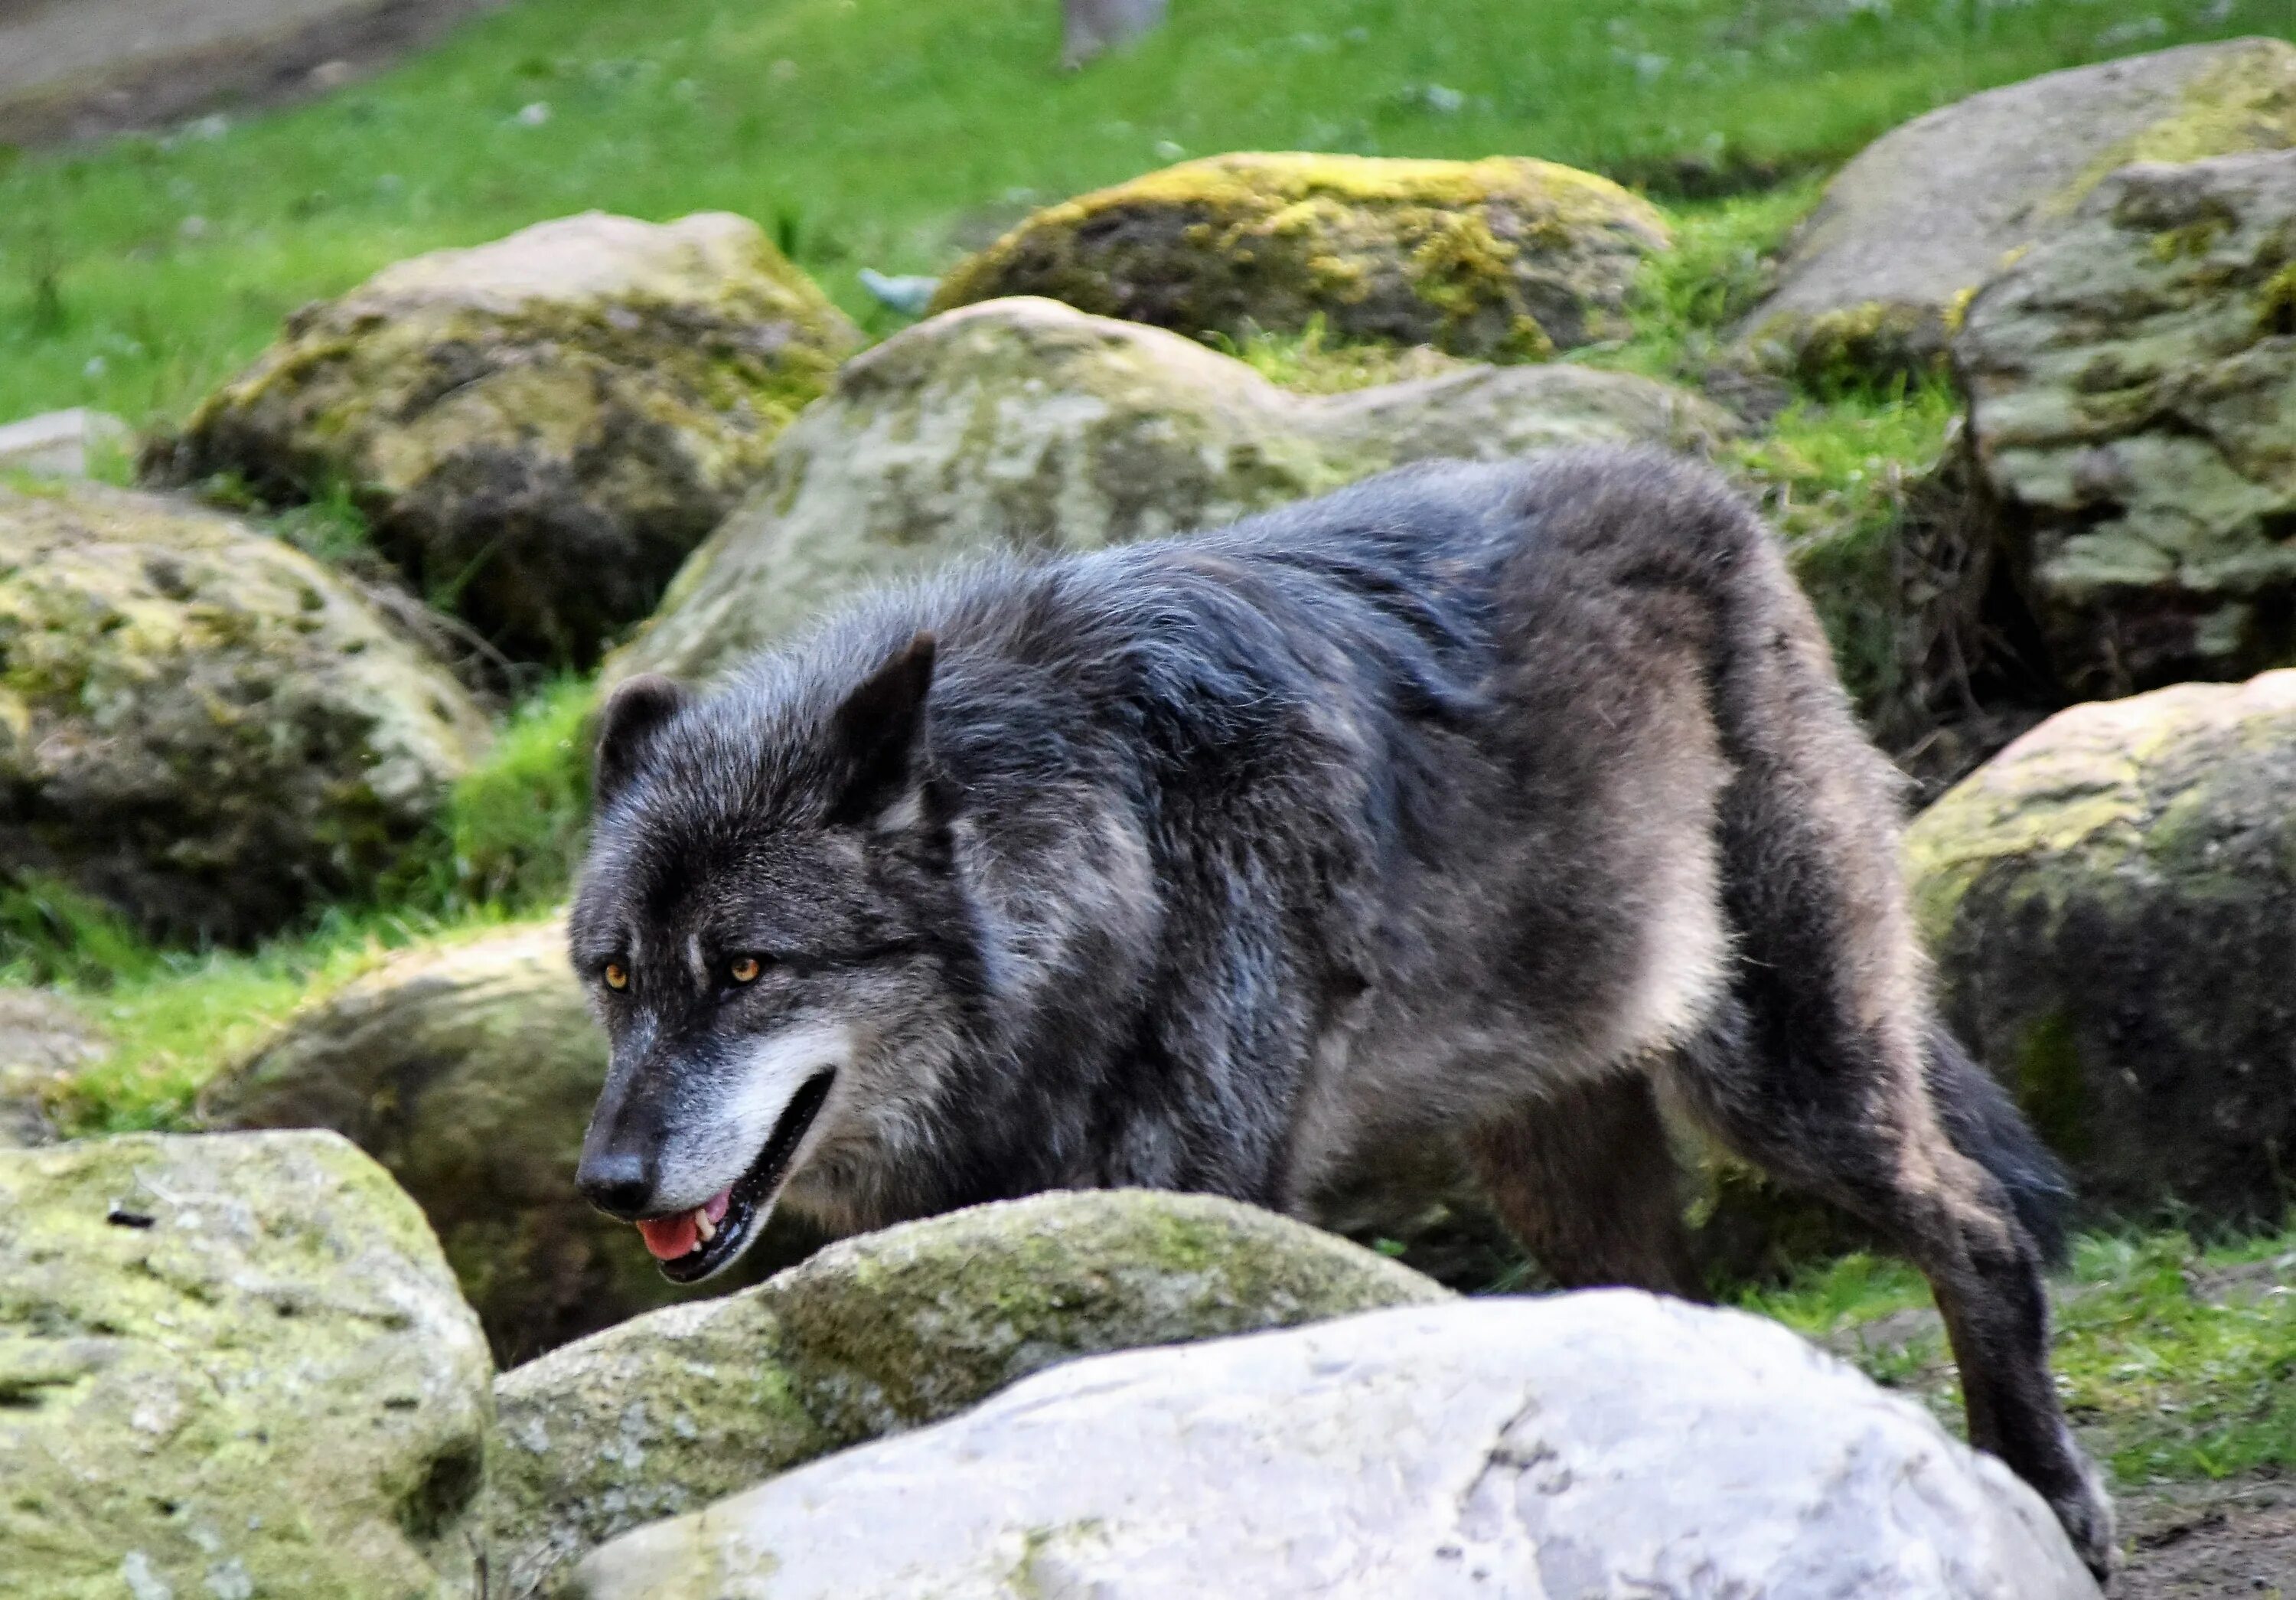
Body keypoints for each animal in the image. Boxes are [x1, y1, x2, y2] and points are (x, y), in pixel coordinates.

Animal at [574, 449, 2112, 1570]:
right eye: (617, 974)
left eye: (747, 969)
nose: (607, 1181)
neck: (1111, 857)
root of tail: (1710, 494)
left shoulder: (1199, 1202)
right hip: (1557, 1162)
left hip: (1778, 1078)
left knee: (1979, 1224)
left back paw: (2049, 1494)